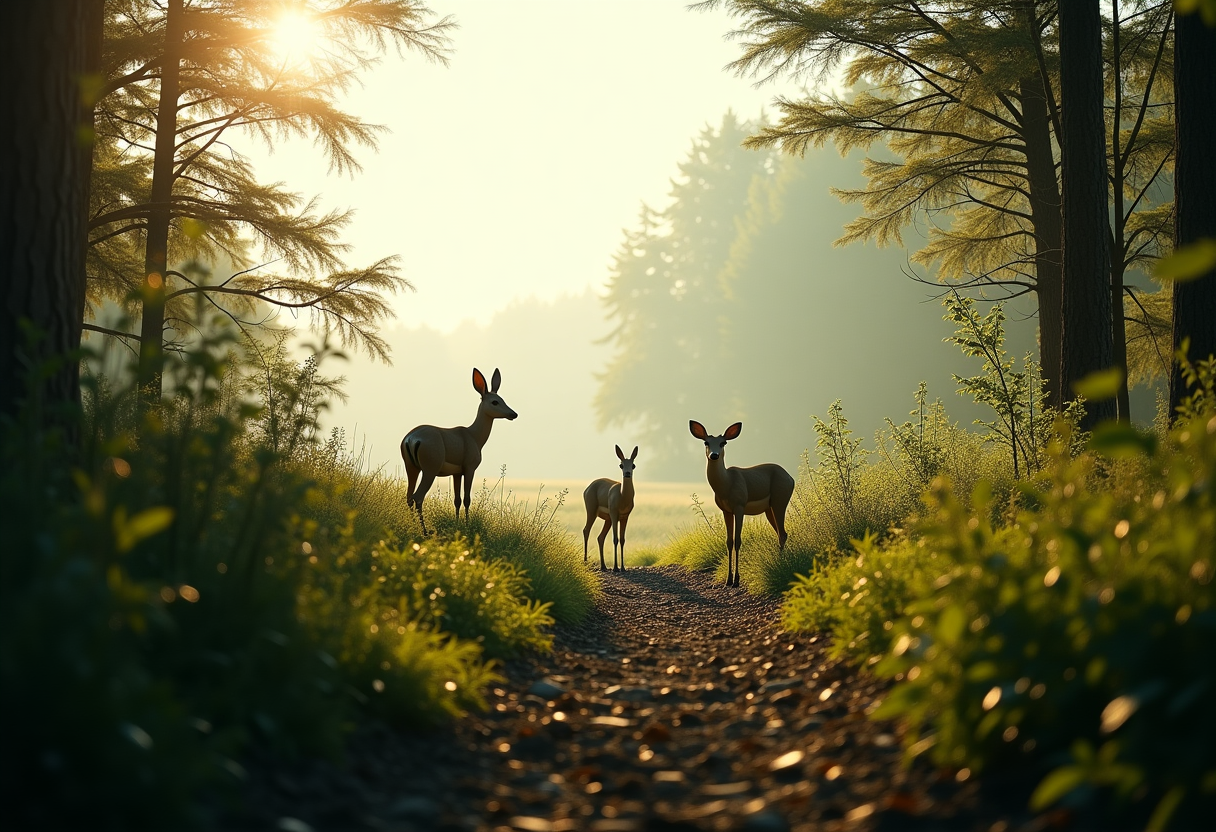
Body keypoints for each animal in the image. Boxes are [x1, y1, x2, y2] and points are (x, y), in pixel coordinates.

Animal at [396, 369, 515, 535]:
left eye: (502, 399)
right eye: (495, 402)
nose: (513, 414)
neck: (473, 436)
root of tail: (411, 438)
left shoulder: (457, 473)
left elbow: (457, 500)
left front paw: (458, 525)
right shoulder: (470, 469)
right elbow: (467, 499)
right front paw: (467, 526)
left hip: (412, 469)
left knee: (408, 497)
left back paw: (413, 527)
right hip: (429, 471)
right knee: (417, 497)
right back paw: (424, 532)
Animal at [690, 418, 792, 588]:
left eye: (723, 442)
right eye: (706, 442)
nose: (714, 455)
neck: (726, 484)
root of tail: (790, 478)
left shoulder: (739, 506)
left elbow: (738, 541)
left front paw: (737, 580)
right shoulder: (726, 510)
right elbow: (729, 541)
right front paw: (728, 580)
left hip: (780, 501)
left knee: (783, 533)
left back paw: (781, 565)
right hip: (769, 508)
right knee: (781, 533)